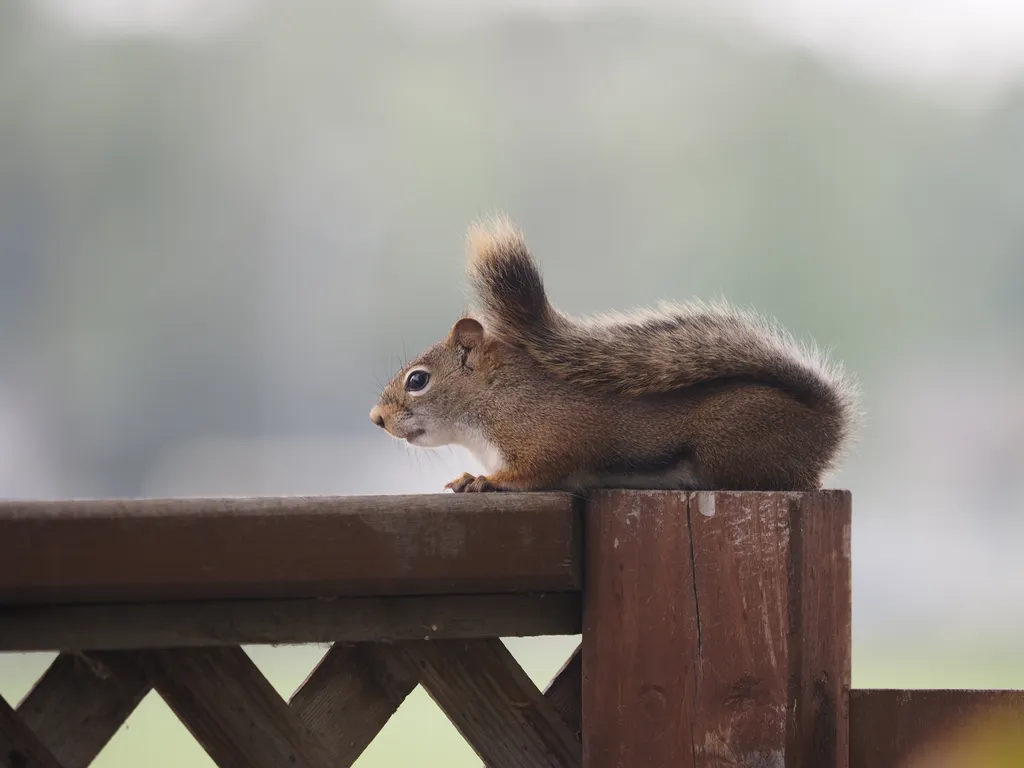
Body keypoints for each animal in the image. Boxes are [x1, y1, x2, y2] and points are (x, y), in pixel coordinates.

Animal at [368, 215, 856, 493]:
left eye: (418, 380)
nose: (377, 418)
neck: (492, 401)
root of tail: (825, 425)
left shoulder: (549, 438)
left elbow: (535, 474)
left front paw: (485, 481)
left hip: (733, 442)